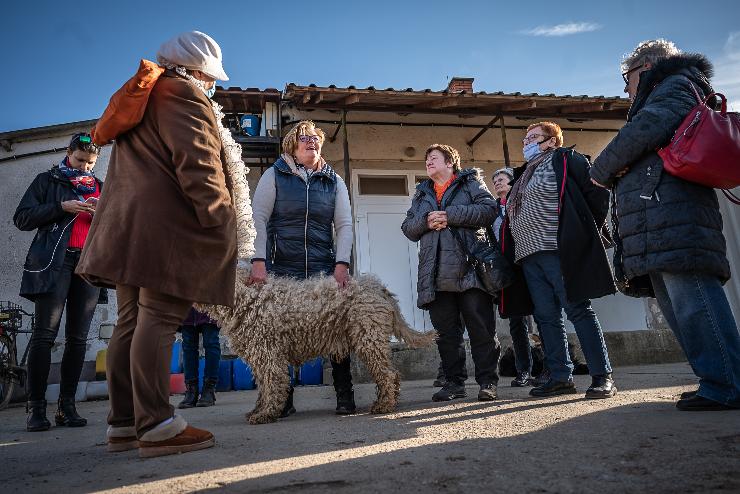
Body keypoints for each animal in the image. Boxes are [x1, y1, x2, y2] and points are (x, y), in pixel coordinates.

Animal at [199, 266, 436, 424]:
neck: (246, 298)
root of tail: (378, 287)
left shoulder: (268, 355)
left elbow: (272, 385)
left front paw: (265, 413)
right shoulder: (261, 357)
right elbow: (264, 387)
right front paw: (259, 410)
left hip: (369, 338)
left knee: (388, 374)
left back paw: (384, 405)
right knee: (390, 375)